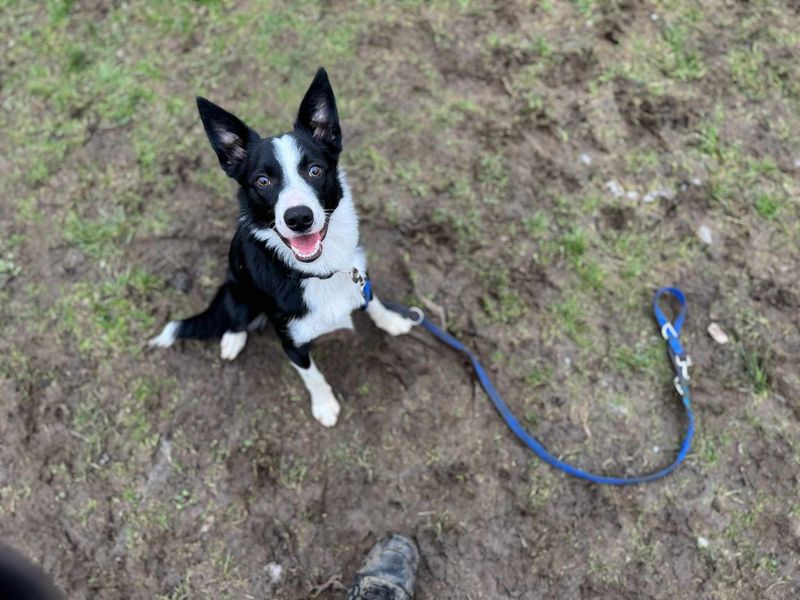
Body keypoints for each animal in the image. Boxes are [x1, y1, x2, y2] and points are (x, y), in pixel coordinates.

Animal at [146, 69, 416, 426]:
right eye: (263, 181)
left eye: (315, 170)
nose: (298, 217)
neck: (317, 273)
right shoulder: (292, 343)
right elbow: (312, 375)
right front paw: (325, 405)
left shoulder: (359, 275)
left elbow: (372, 301)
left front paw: (391, 320)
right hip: (239, 288)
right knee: (235, 312)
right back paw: (233, 338)